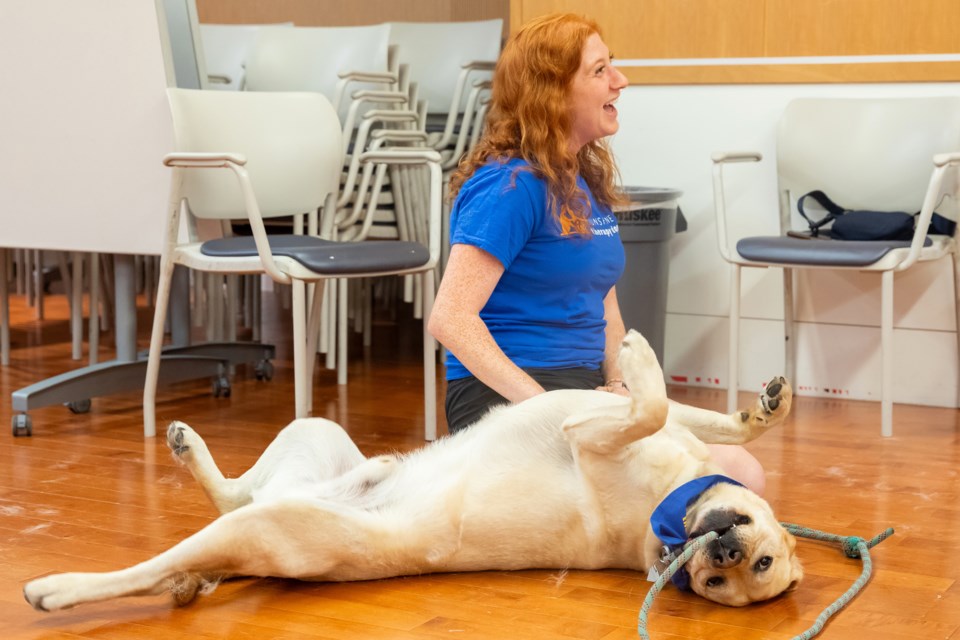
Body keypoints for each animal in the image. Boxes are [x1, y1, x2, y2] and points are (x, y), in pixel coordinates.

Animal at [24, 332, 804, 612]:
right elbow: (676, 407)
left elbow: (650, 402)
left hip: (275, 523)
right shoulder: (610, 412)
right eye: (761, 560)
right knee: (234, 492)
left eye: (741, 576)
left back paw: (60, 588)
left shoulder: (596, 432)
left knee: (164, 562)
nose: (722, 553)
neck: (672, 500)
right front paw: (763, 407)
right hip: (316, 436)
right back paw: (187, 449)